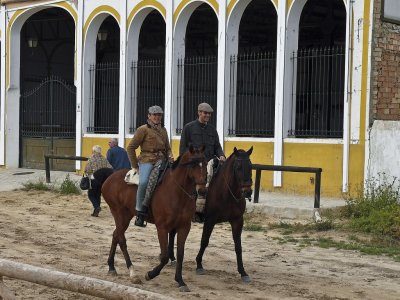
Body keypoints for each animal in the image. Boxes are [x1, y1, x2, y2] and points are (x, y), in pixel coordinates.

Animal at [100, 146, 208, 292]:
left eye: (206, 163)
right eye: (193, 164)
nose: (202, 190)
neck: (177, 192)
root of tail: (110, 178)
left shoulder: (184, 227)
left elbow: (180, 255)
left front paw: (180, 281)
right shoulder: (162, 228)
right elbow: (164, 256)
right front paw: (150, 274)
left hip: (126, 215)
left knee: (116, 235)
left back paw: (111, 267)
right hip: (119, 214)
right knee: (121, 238)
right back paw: (132, 273)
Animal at [168, 146, 253, 282]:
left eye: (250, 166)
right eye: (238, 167)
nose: (247, 192)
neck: (226, 193)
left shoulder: (237, 220)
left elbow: (238, 246)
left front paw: (243, 272)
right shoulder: (210, 220)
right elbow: (204, 241)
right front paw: (199, 264)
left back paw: (171, 257)